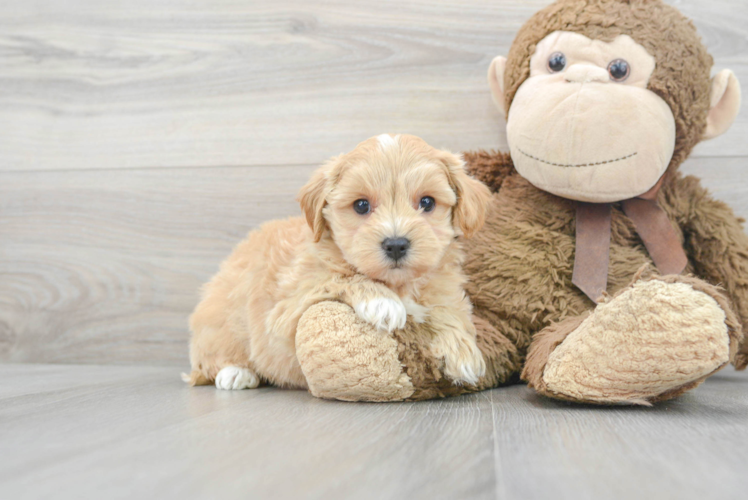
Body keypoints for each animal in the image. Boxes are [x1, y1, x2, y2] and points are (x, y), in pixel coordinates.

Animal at [186, 135, 490, 392]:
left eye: (427, 202)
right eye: (361, 206)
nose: (395, 244)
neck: (398, 284)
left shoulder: (442, 289)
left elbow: (448, 310)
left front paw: (463, 352)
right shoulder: (287, 306)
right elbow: (338, 277)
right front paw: (383, 302)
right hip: (221, 319)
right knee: (210, 358)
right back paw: (235, 373)